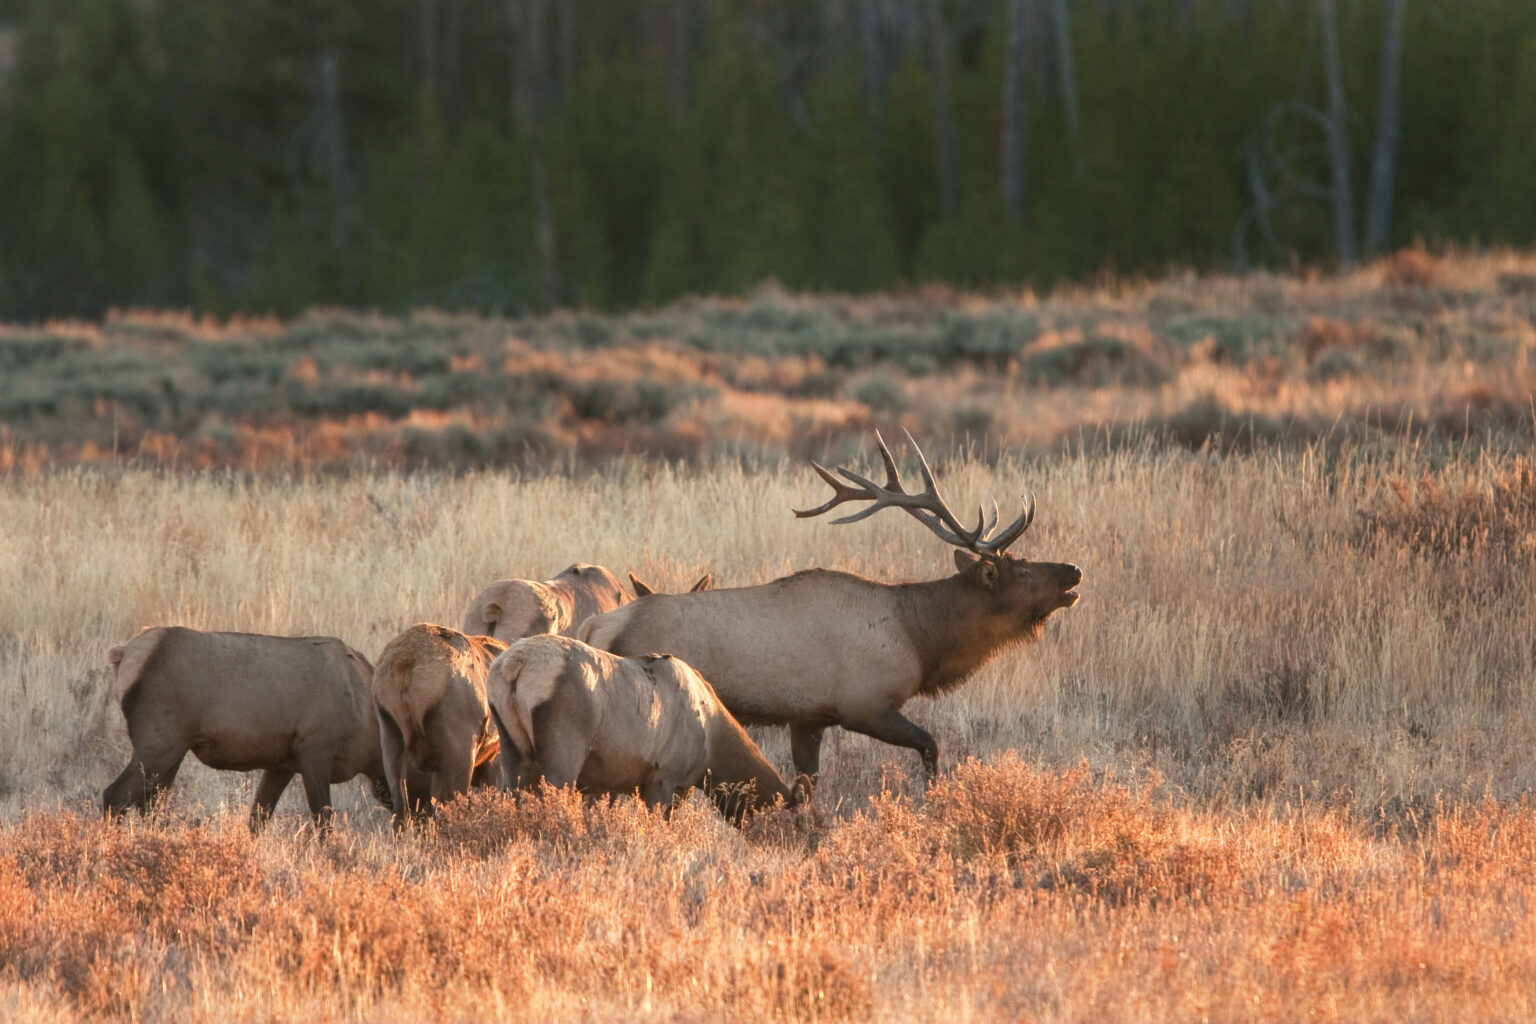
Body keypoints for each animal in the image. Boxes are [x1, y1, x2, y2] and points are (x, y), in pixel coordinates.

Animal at [579, 431, 1081, 781]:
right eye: (1022, 571)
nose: (1074, 571)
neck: (919, 637)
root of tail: (593, 627)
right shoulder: (865, 703)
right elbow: (931, 747)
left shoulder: (809, 718)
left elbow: (807, 783)